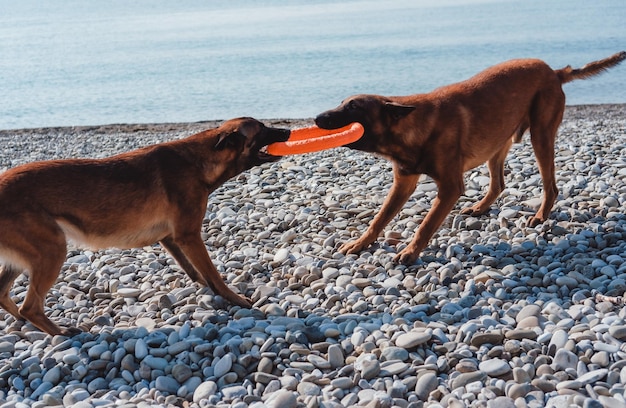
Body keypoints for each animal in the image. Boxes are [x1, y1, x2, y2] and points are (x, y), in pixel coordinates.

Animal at [0, 117, 288, 334]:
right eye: (261, 128)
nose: (287, 130)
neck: (199, 161)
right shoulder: (188, 236)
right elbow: (213, 273)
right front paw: (235, 298)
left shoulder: (171, 238)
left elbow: (196, 272)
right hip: (52, 249)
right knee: (30, 306)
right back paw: (60, 331)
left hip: (28, 255)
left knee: (3, 294)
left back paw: (25, 323)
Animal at [316, 51, 624, 264]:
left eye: (353, 107)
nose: (318, 118)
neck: (412, 127)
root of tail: (553, 71)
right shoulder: (403, 183)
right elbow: (379, 219)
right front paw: (360, 243)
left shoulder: (450, 188)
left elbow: (426, 225)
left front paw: (411, 252)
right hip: (496, 145)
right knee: (499, 183)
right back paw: (480, 208)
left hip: (541, 136)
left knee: (551, 185)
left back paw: (539, 215)